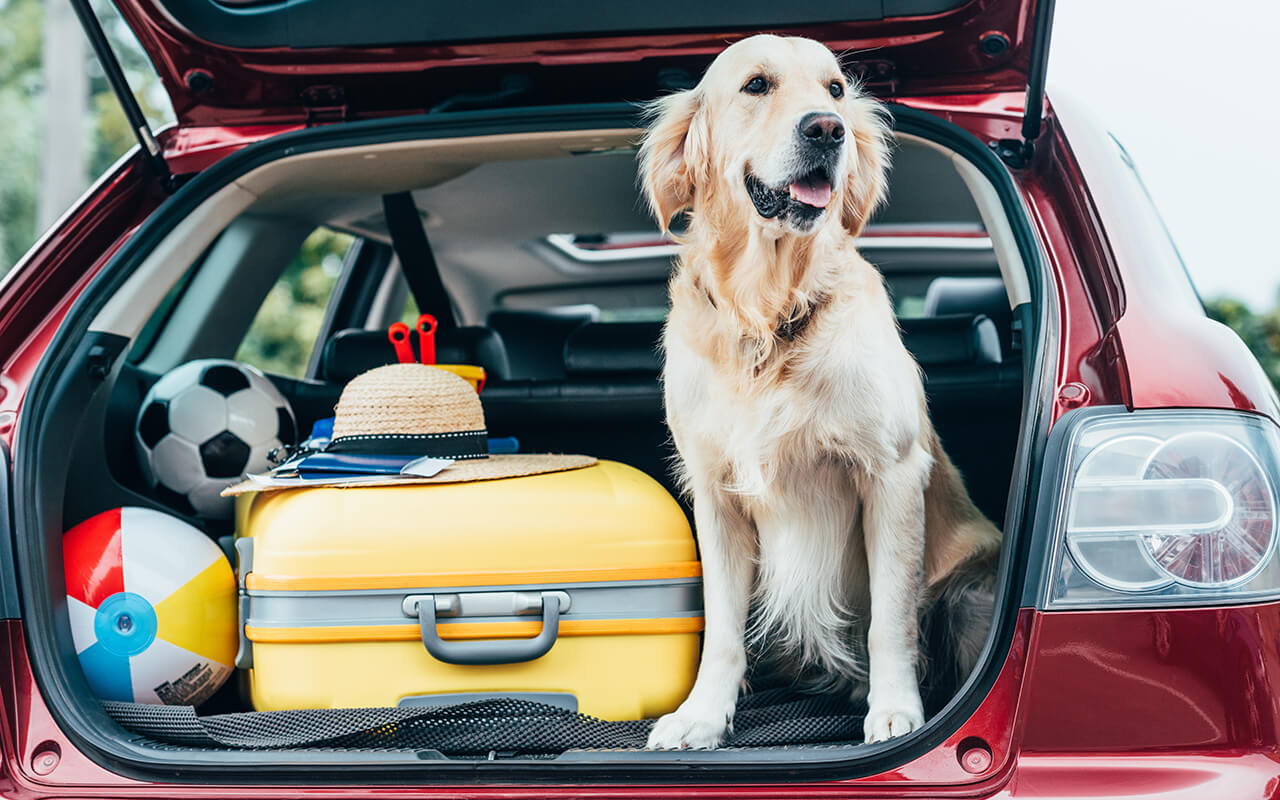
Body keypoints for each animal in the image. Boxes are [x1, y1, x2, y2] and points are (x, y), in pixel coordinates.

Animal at [640, 34, 998, 747]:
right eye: (756, 85)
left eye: (834, 89)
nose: (827, 129)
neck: (768, 315)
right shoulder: (715, 492)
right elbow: (722, 629)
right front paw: (702, 716)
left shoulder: (889, 473)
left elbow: (891, 618)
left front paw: (896, 711)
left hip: (971, 588)